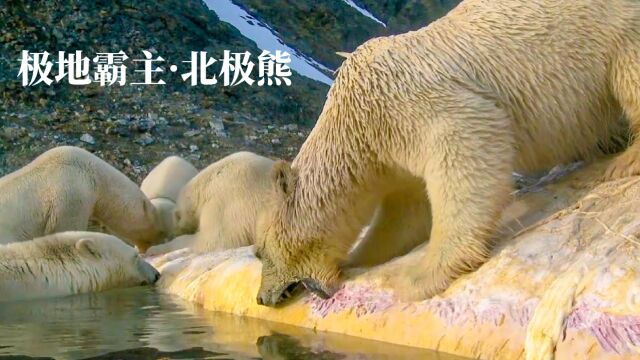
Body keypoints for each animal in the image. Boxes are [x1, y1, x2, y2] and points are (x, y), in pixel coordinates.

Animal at [252, 0, 640, 306]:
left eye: (260, 253)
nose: (261, 298)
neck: (353, 121)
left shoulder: (400, 102)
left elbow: (467, 136)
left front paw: (421, 276)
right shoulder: (390, 151)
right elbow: (406, 213)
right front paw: (359, 259)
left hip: (616, 27)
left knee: (629, 71)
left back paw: (626, 159)